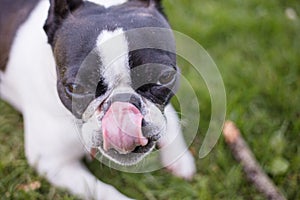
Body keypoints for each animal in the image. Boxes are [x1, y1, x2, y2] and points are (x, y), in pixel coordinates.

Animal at [0, 0, 196, 198]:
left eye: (165, 77)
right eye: (75, 88)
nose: (122, 107)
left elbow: (170, 117)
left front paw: (179, 158)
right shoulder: (53, 164)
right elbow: (103, 191)